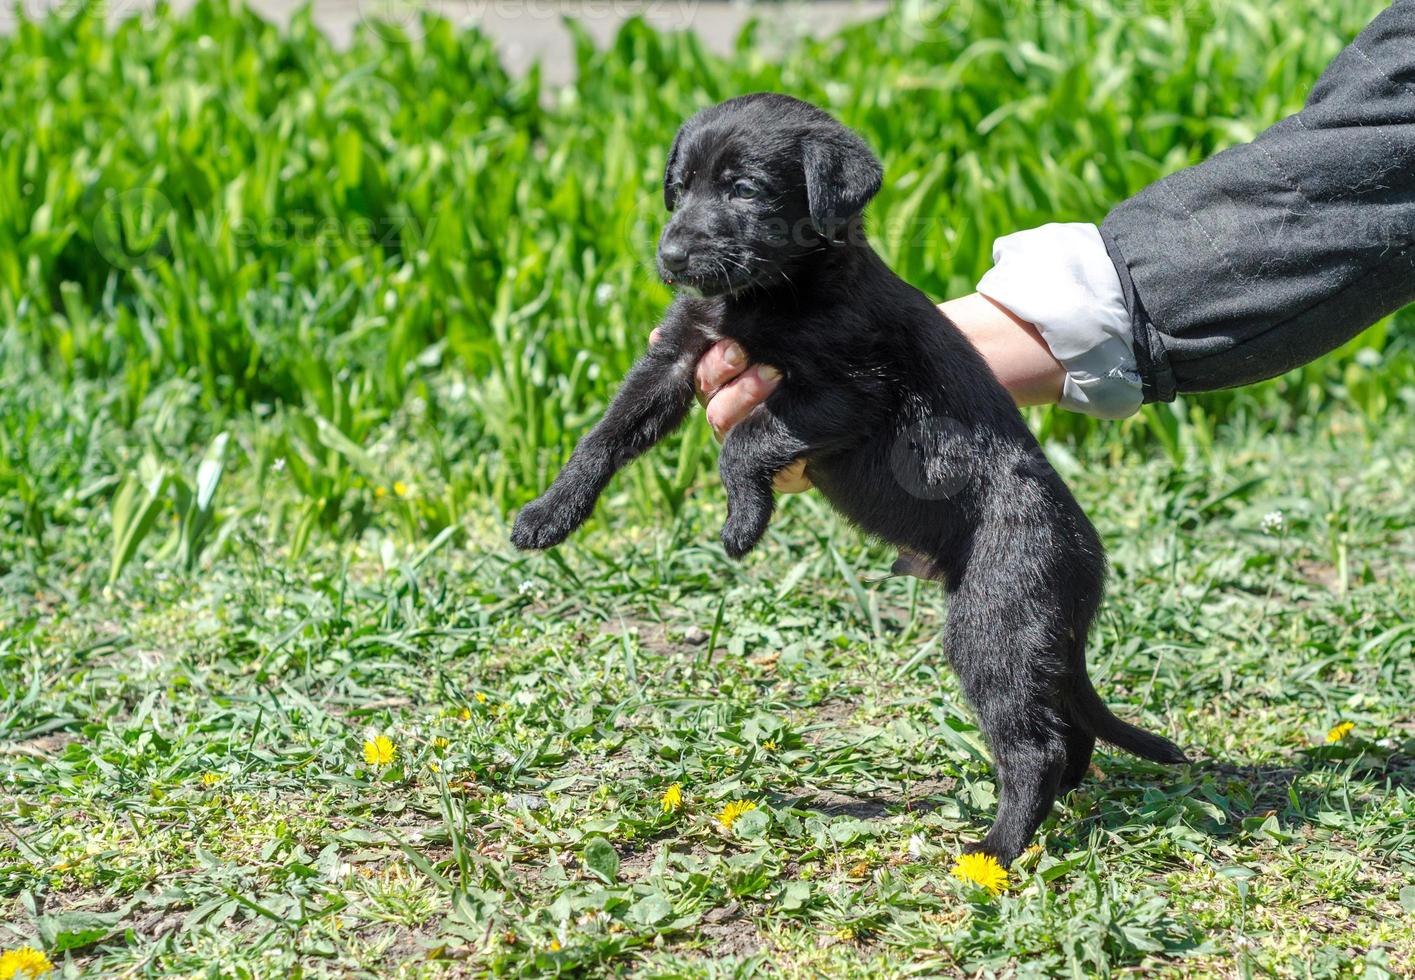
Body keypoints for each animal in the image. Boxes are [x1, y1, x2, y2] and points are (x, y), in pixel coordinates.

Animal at [509, 89, 1182, 854]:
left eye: (742, 190)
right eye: (678, 188)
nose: (671, 255)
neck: (777, 290)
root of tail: (1085, 559)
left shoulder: (850, 389)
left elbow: (744, 440)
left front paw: (743, 522)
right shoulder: (679, 352)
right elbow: (606, 433)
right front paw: (548, 514)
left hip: (997, 622)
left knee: (1033, 744)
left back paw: (993, 853)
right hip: (1036, 641)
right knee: (1066, 729)